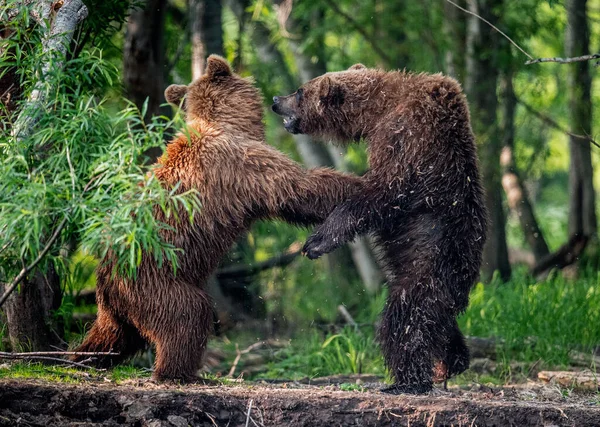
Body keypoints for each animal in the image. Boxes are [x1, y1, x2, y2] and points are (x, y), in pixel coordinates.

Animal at [72, 56, 358, 382]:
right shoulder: (243, 164)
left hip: (117, 307)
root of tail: (107, 280)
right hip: (157, 281)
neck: (226, 122)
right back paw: (178, 371)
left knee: (112, 336)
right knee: (187, 315)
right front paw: (357, 183)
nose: (274, 100)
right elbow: (298, 187)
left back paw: (80, 358)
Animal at [272, 62, 488, 394]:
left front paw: (316, 242)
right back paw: (451, 362)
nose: (275, 99)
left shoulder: (406, 135)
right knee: (440, 323)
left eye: (299, 91)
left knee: (404, 318)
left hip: (428, 267)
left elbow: (383, 192)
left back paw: (407, 380)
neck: (377, 112)